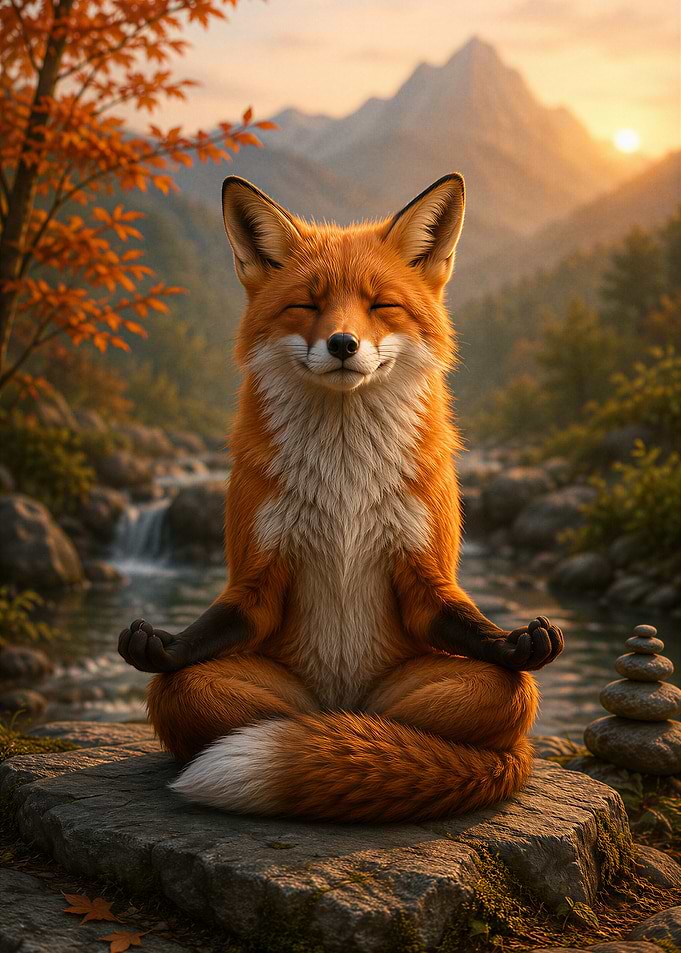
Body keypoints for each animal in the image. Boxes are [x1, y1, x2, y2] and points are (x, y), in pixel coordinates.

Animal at [118, 172, 564, 822]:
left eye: (381, 305)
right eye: (307, 305)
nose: (343, 343)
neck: (345, 478)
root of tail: (341, 703)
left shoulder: (425, 573)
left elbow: (464, 621)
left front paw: (510, 641)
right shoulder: (258, 573)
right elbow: (213, 630)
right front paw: (167, 645)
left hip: (486, 693)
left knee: (489, 698)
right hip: (229, 693)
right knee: (199, 692)